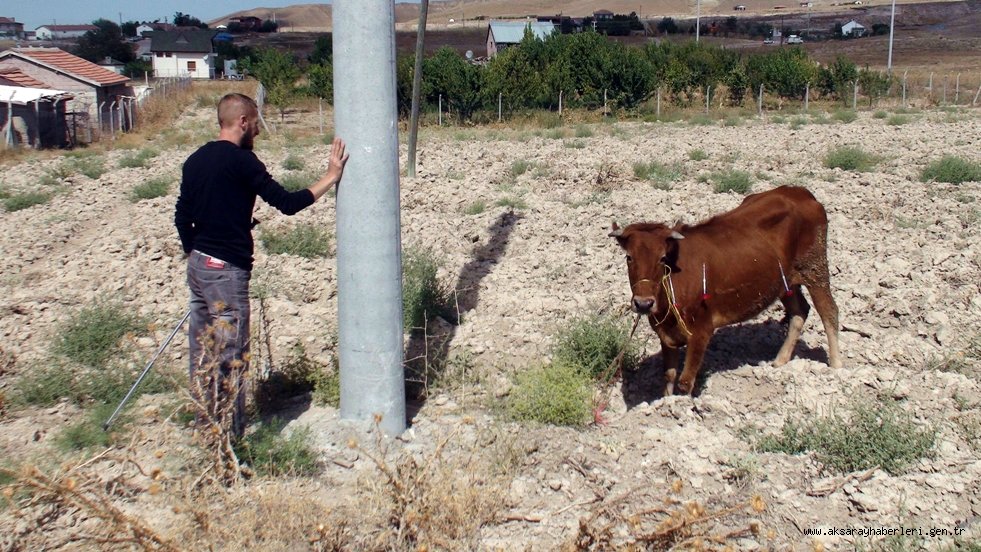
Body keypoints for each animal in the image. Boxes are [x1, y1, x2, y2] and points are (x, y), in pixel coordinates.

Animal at [608, 187, 840, 396]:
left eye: (662, 258)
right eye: (629, 257)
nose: (643, 303)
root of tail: (801, 193)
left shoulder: (701, 331)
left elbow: (685, 381)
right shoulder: (665, 335)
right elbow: (669, 377)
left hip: (816, 268)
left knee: (829, 311)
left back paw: (836, 366)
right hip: (785, 283)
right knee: (800, 311)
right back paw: (780, 360)